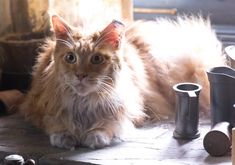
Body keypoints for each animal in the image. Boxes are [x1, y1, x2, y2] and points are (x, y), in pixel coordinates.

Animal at [21, 15, 225, 150]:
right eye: (70, 58)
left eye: (96, 59)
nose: (80, 75)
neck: (83, 104)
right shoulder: (36, 108)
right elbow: (53, 122)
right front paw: (64, 135)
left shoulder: (131, 111)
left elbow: (111, 124)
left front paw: (96, 135)